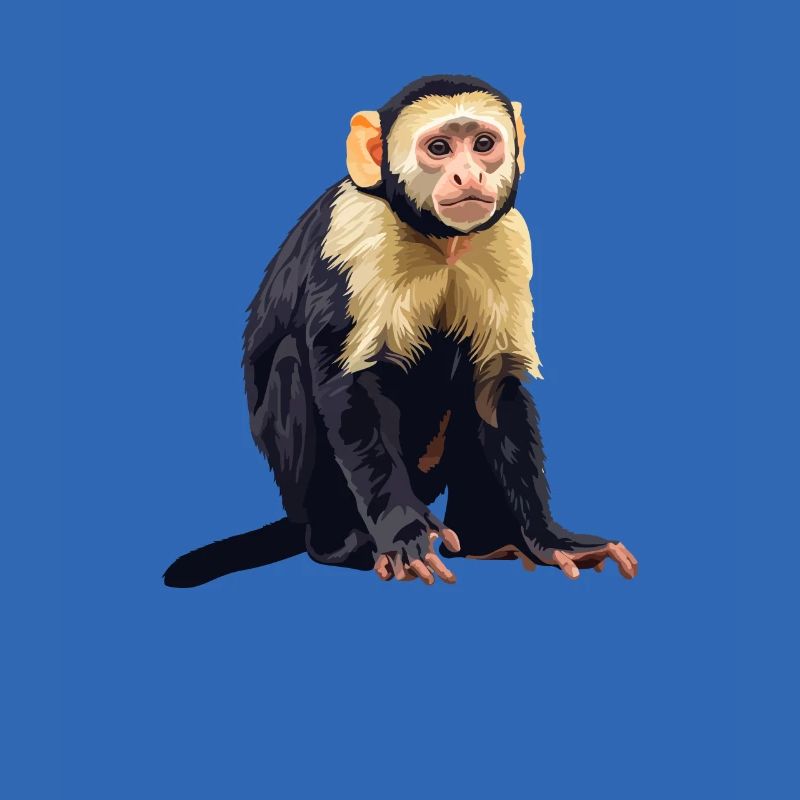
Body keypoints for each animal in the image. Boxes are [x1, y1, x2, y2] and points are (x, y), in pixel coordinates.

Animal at [163, 75, 638, 588]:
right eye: (439, 148)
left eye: (483, 144)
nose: (469, 176)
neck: (438, 238)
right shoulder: (355, 228)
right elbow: (348, 383)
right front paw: (403, 531)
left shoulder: (508, 236)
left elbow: (495, 387)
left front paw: (549, 540)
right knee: (293, 362)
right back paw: (339, 545)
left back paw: (489, 542)